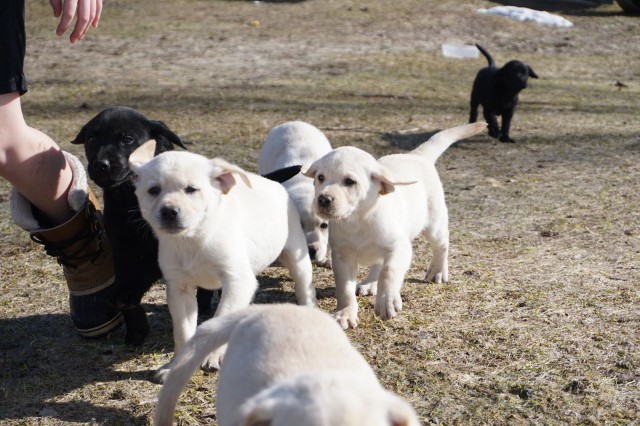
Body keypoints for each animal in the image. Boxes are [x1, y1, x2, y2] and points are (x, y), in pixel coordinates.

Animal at [70, 107, 215, 346]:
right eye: (92, 139)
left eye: (127, 139)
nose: (101, 165)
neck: (129, 197)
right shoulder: (120, 244)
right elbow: (124, 279)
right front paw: (136, 329)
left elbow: (139, 275)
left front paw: (127, 297)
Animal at [127, 141, 316, 382]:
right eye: (153, 190)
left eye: (191, 190)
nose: (169, 211)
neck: (193, 240)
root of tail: (271, 182)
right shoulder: (179, 289)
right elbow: (182, 332)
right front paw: (175, 366)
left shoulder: (237, 281)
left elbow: (220, 318)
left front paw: (213, 355)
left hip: (296, 255)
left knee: (304, 287)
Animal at [304, 121, 484, 328]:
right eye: (320, 178)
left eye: (350, 181)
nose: (323, 199)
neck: (358, 219)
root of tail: (416, 155)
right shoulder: (342, 256)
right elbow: (344, 289)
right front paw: (345, 313)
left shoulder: (399, 248)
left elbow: (389, 272)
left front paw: (386, 301)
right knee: (378, 263)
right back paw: (370, 283)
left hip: (433, 225)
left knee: (442, 244)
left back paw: (438, 271)